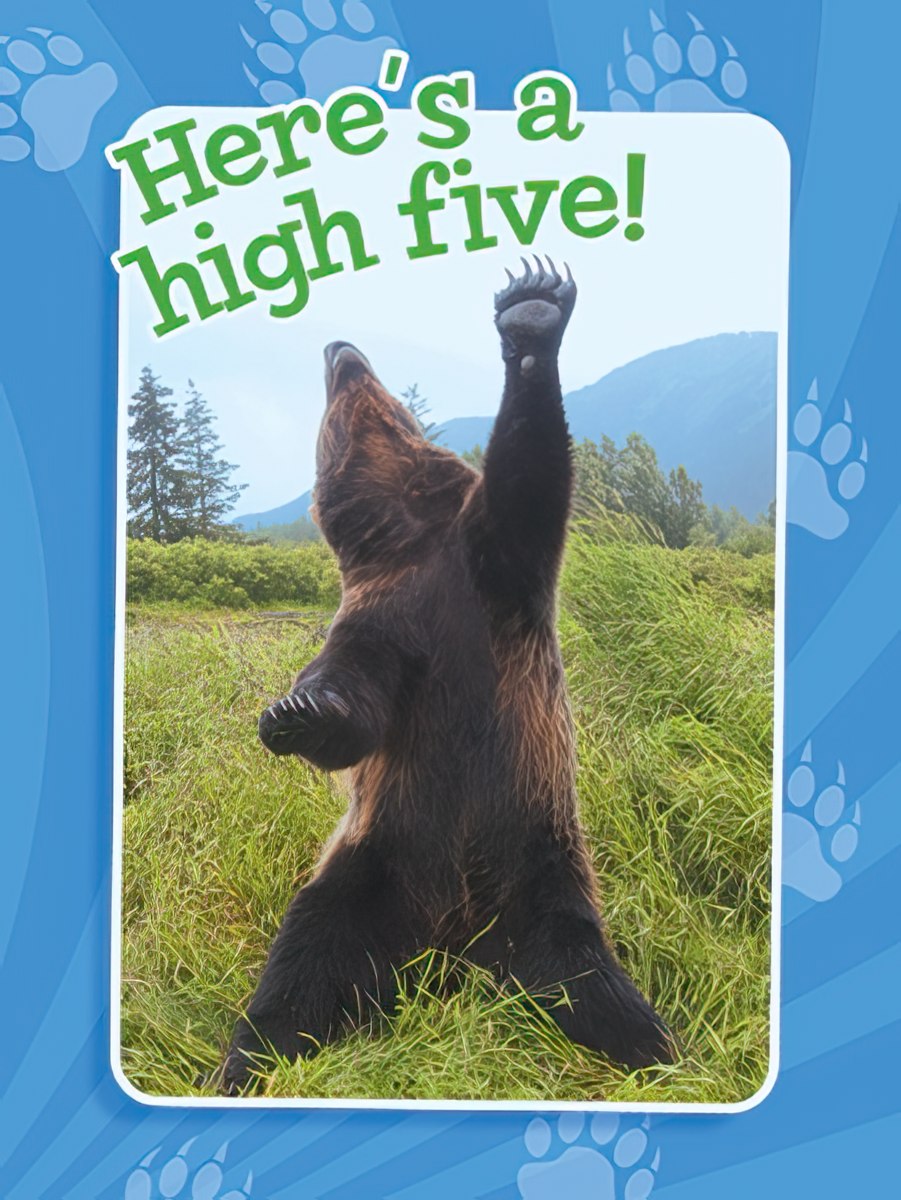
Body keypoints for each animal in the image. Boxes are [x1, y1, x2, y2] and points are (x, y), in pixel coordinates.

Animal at [222, 258, 672, 1095]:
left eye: (360, 383)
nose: (339, 346)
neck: (412, 536)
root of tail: (455, 947)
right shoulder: (378, 619)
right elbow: (354, 709)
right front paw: (294, 711)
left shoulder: (493, 575)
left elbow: (531, 473)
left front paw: (530, 311)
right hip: (372, 866)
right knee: (302, 967)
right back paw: (249, 1061)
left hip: (544, 868)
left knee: (595, 987)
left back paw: (660, 1055)